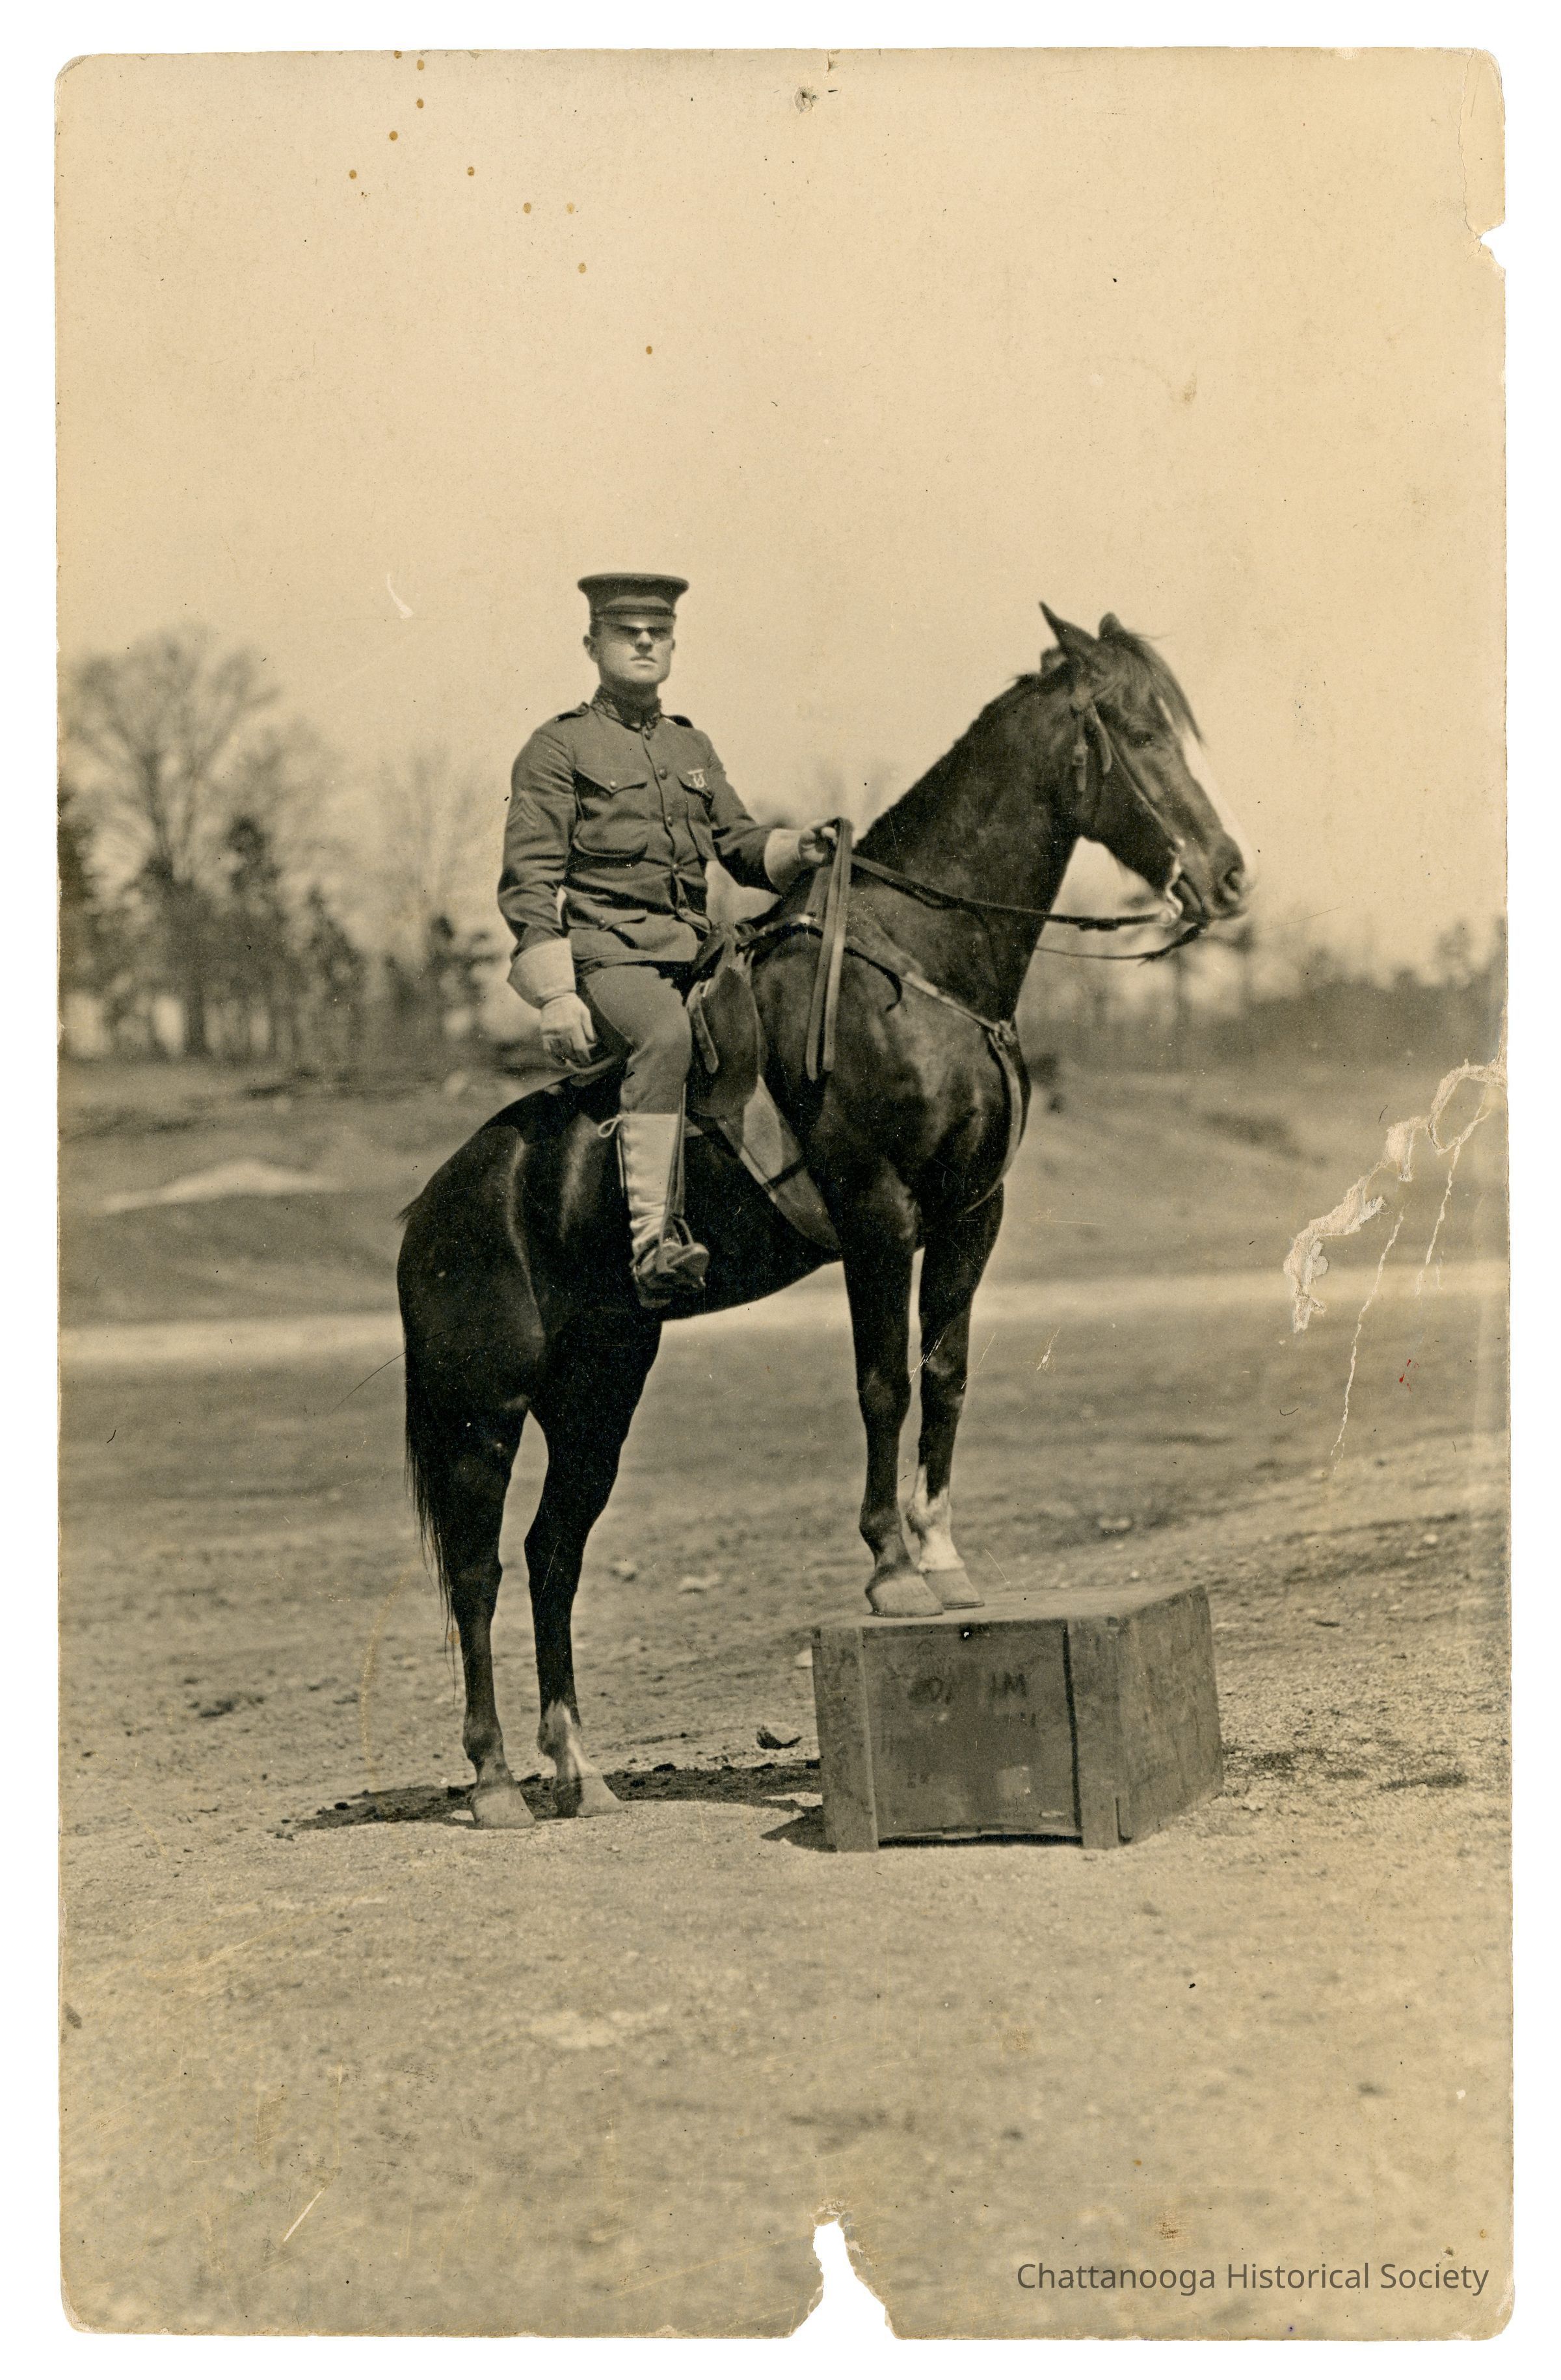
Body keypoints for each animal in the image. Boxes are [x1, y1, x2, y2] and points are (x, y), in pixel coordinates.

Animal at [396, 606, 1248, 1828]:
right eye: (1136, 729)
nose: (1227, 874)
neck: (921, 971)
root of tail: (435, 1205)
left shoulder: (971, 1215)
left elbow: (945, 1374)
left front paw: (946, 1559)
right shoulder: (879, 1214)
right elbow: (883, 1382)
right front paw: (891, 1570)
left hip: (598, 1392)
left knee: (555, 1554)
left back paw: (582, 1771)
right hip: (485, 1412)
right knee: (479, 1573)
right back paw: (497, 1780)